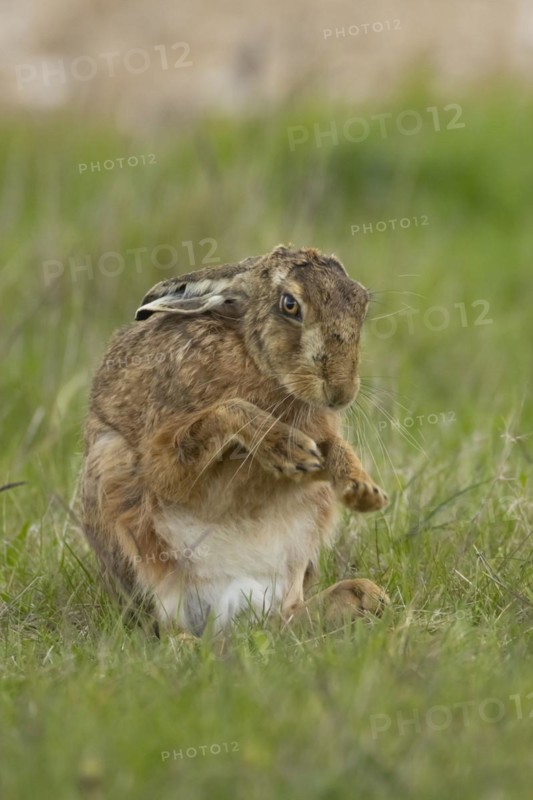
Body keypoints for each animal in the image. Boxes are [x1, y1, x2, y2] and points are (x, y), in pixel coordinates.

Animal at [80, 244, 389, 636]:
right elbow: (221, 417)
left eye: (360, 302)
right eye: (290, 305)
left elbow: (333, 447)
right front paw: (284, 447)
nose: (341, 392)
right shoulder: (164, 454)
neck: (259, 364)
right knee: (163, 622)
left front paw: (364, 492)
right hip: (117, 492)